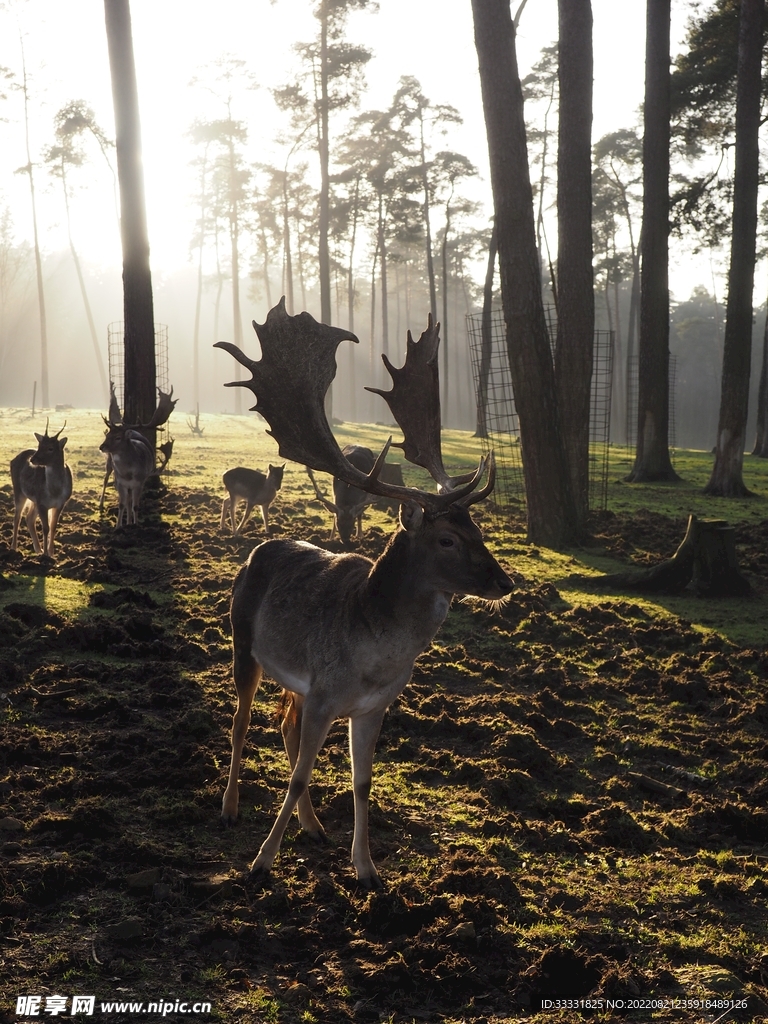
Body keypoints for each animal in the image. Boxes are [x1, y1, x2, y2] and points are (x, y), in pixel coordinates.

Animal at [10, 421, 73, 558]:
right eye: (39, 445)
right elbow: (45, 528)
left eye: (50, 448)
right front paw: (46, 555)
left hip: (34, 500)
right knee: (17, 517)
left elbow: (53, 527)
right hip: (19, 491)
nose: (32, 459)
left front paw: (51, 553)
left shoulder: (60, 503)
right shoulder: (42, 503)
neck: (55, 491)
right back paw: (14, 547)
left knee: (29, 518)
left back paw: (37, 549)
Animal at [99, 387, 177, 527]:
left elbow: (134, 506)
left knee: (130, 501)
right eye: (107, 435)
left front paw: (134, 524)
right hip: (109, 464)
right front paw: (118, 526)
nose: (102, 447)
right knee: (106, 479)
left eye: (118, 437)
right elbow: (121, 504)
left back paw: (129, 521)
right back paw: (101, 505)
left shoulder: (140, 482)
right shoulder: (120, 482)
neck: (128, 474)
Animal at [214, 299, 513, 889]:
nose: (504, 582)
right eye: (447, 538)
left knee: (283, 725)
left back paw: (312, 829)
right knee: (240, 724)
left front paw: (366, 868)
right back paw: (231, 808)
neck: (375, 659)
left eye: (477, 527)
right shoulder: (326, 693)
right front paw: (262, 861)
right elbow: (300, 775)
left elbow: (361, 782)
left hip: (294, 682)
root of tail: (257, 551)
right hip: (243, 644)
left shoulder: (372, 706)